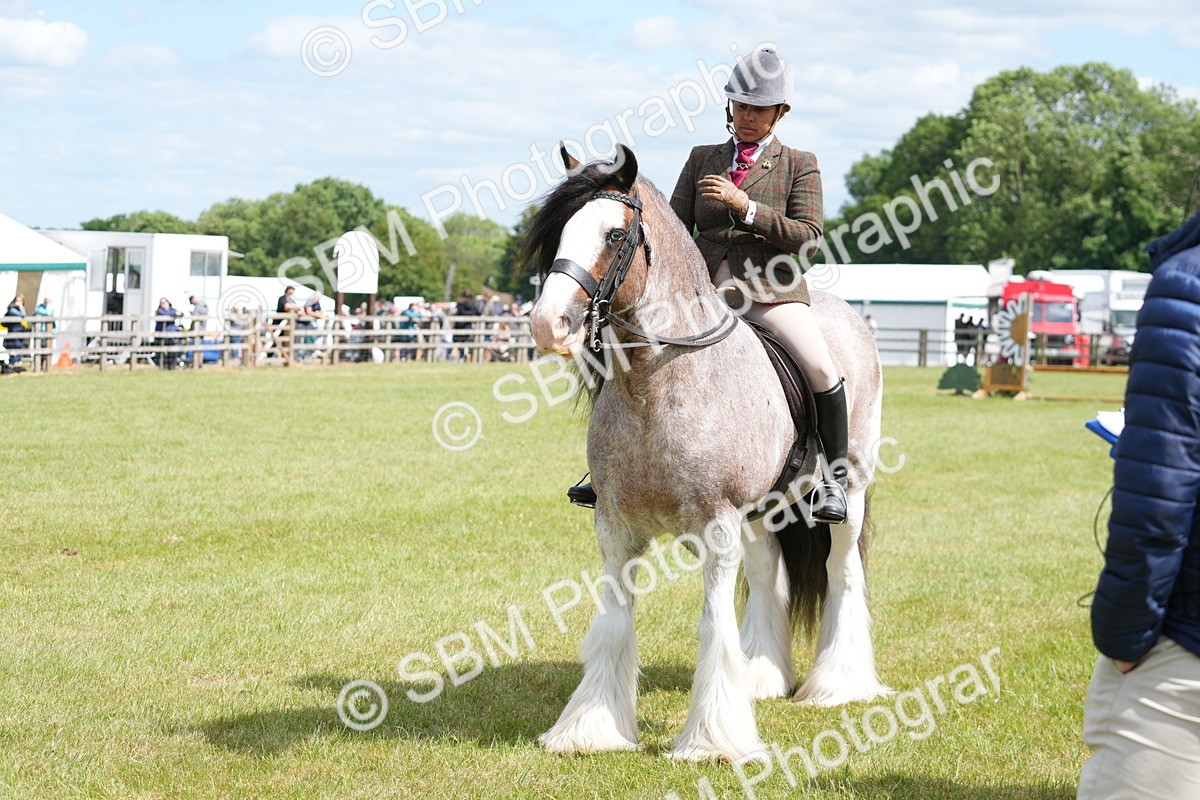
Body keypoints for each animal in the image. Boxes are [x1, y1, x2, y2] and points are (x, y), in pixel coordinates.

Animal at [525, 144, 889, 762]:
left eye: (614, 234)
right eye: (558, 233)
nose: (549, 325)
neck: (656, 384)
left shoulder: (717, 525)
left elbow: (712, 625)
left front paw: (713, 741)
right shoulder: (614, 525)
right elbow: (615, 622)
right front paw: (591, 729)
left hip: (851, 489)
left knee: (842, 572)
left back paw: (837, 685)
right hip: (765, 507)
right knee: (768, 575)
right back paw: (763, 676)